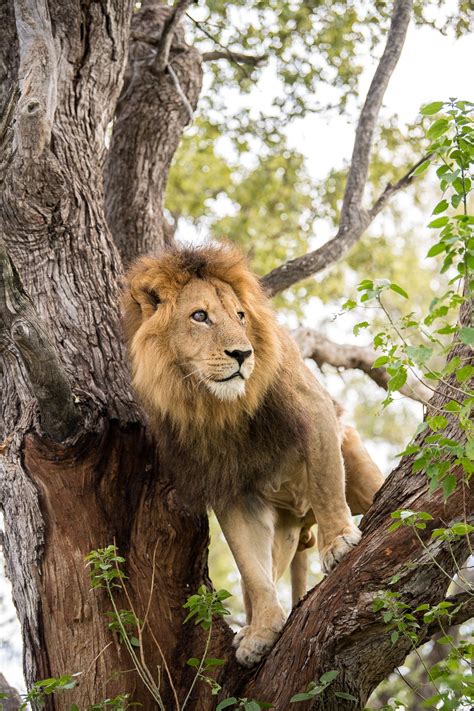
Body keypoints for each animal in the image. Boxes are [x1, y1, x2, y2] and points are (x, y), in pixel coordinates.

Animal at [121, 243, 382, 668]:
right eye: (200, 316)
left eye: (240, 316)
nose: (243, 353)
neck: (216, 405)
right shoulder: (230, 487)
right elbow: (253, 571)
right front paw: (261, 632)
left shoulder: (313, 406)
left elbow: (327, 486)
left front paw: (339, 542)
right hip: (286, 531)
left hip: (359, 468)